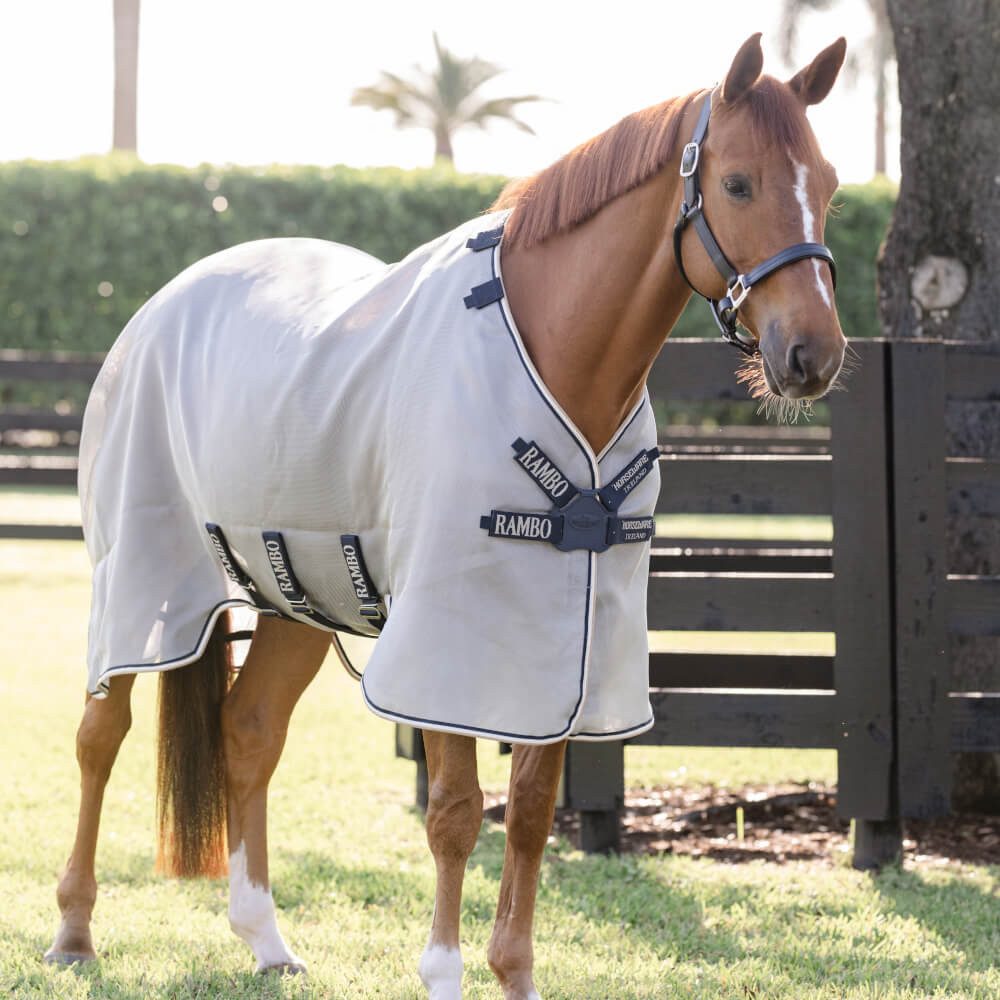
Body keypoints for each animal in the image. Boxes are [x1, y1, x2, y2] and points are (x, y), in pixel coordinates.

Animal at [45, 32, 847, 1000]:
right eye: (736, 183)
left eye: (831, 184)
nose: (813, 355)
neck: (558, 356)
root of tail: (158, 310)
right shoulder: (449, 638)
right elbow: (458, 813)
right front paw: (444, 972)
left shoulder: (569, 644)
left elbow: (531, 812)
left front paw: (516, 974)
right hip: (135, 575)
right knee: (101, 735)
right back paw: (75, 931)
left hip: (295, 599)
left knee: (249, 733)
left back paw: (265, 938)